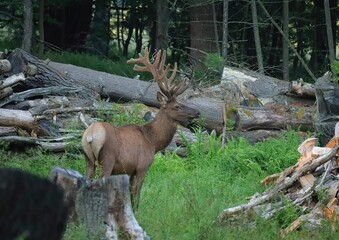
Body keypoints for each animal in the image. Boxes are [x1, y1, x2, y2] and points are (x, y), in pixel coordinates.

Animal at [81, 47, 201, 208]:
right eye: (177, 106)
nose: (197, 112)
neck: (153, 141)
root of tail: (90, 135)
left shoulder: (129, 170)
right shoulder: (142, 167)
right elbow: (136, 197)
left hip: (88, 159)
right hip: (107, 160)